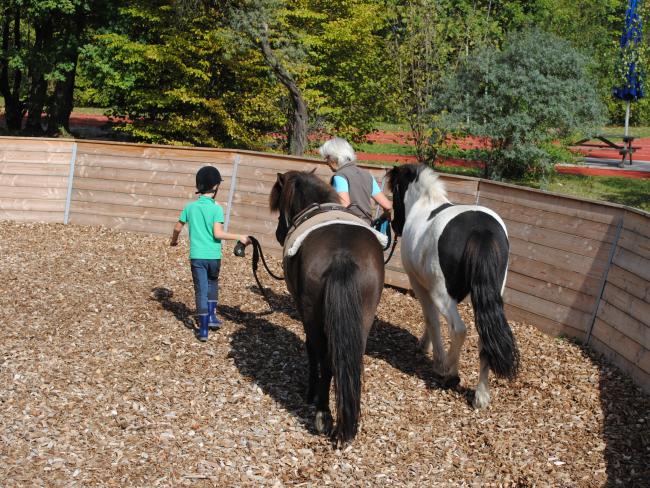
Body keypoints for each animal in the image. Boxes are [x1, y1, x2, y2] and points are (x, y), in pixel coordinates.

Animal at [266, 170, 382, 444]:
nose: (279, 233)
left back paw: (322, 412)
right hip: (364, 317)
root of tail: (342, 256)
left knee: (325, 356)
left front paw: (311, 393)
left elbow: (311, 350)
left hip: (313, 315)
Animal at [384, 164, 516, 408]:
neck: (424, 203)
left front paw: (435, 357)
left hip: (442, 295)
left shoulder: (419, 284)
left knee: (459, 329)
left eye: (395, 192)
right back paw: (481, 396)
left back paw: (450, 372)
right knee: (484, 338)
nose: (395, 225)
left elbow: (431, 318)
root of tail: (481, 232)